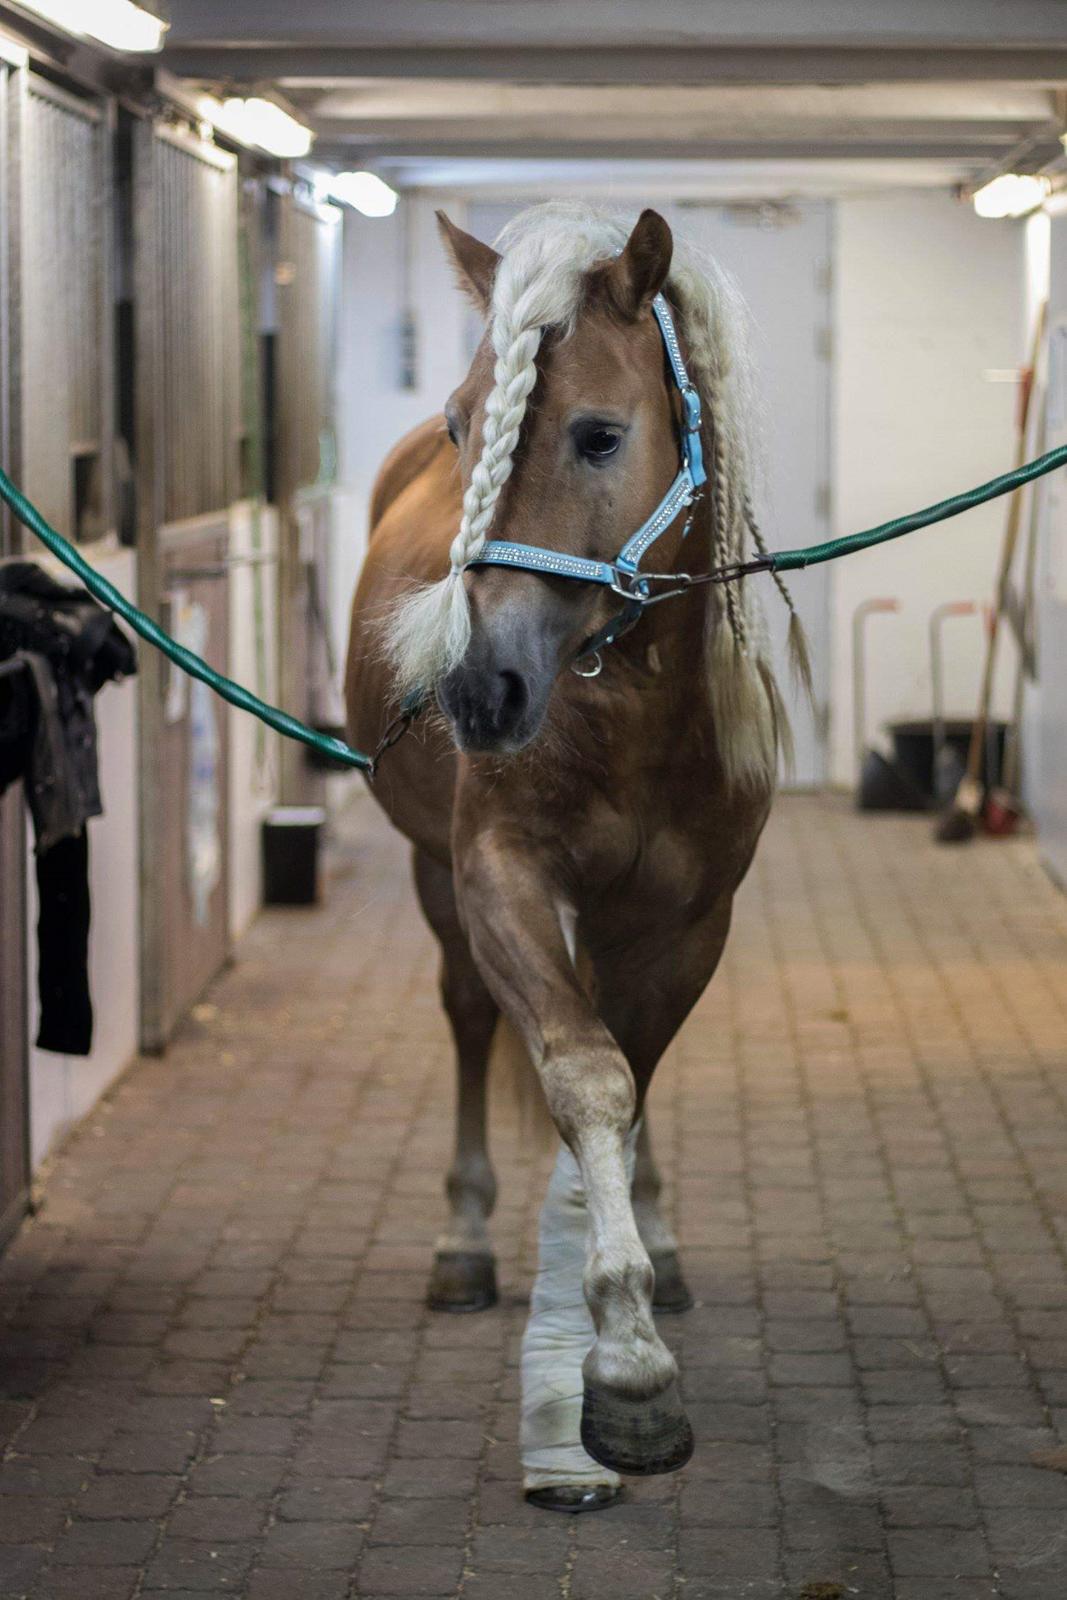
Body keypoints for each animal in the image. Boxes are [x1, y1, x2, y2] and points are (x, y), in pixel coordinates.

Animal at [347, 203, 806, 1510]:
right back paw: (463, 1243)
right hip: (436, 881)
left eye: (598, 434)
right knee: (467, 1019)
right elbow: (586, 1076)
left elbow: (631, 1079)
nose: (475, 689)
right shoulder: (496, 874)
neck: (630, 704)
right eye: (464, 427)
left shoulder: (687, 920)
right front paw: (627, 1367)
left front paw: (625, 1298)